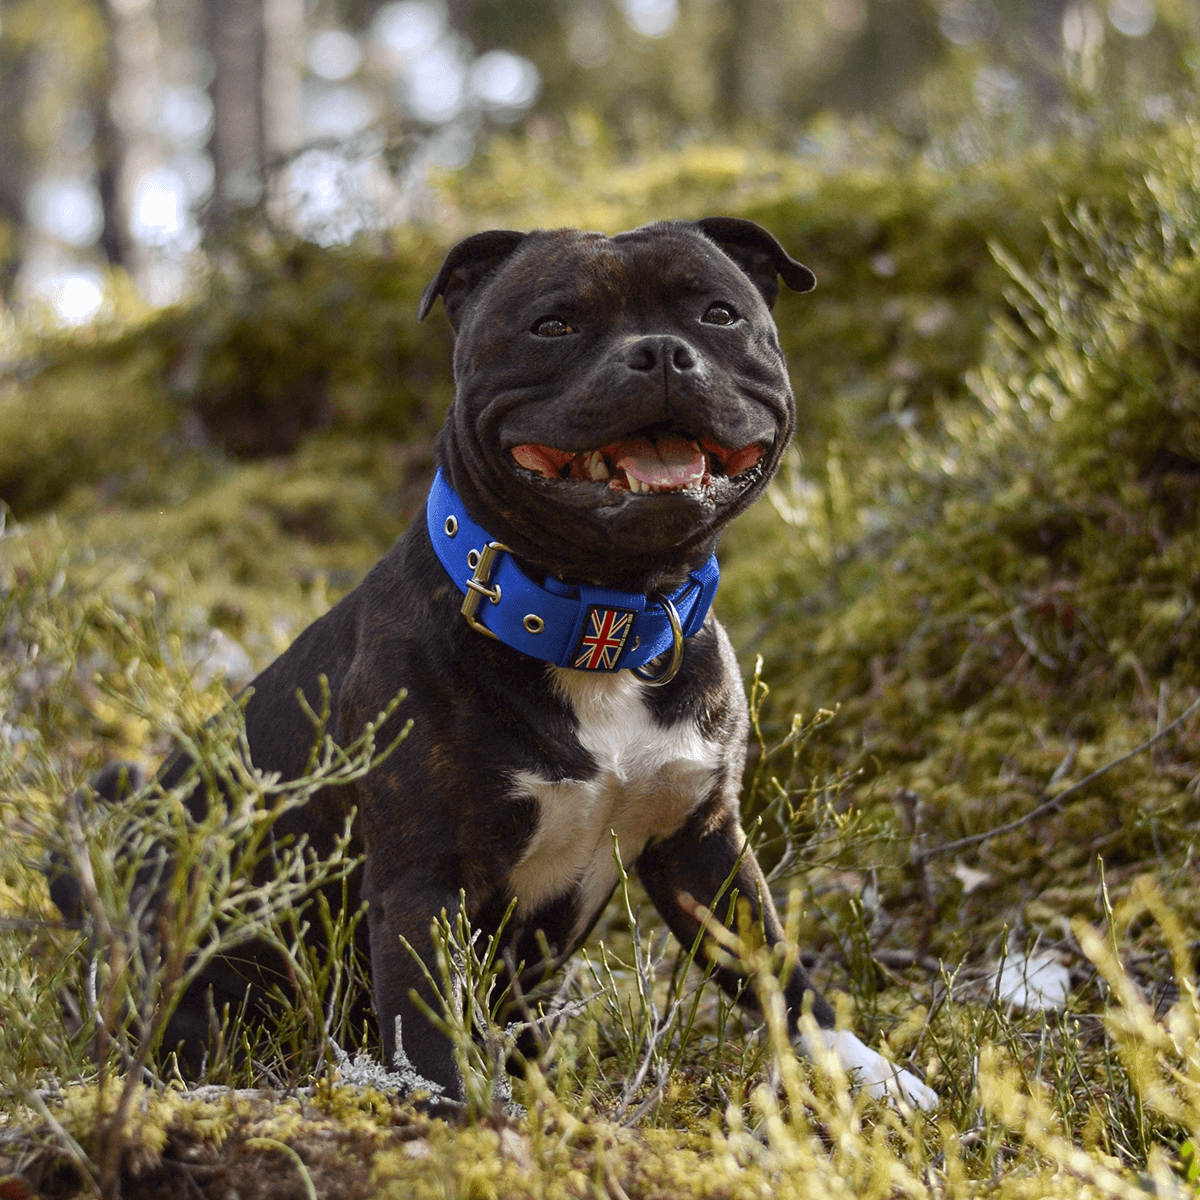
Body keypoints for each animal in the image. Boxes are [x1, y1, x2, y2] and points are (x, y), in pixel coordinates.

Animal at [54, 216, 936, 1104]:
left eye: (718, 313)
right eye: (554, 324)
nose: (660, 352)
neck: (602, 618)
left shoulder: (704, 844)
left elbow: (775, 965)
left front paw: (867, 1074)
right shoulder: (423, 883)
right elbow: (427, 1023)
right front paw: (461, 1116)